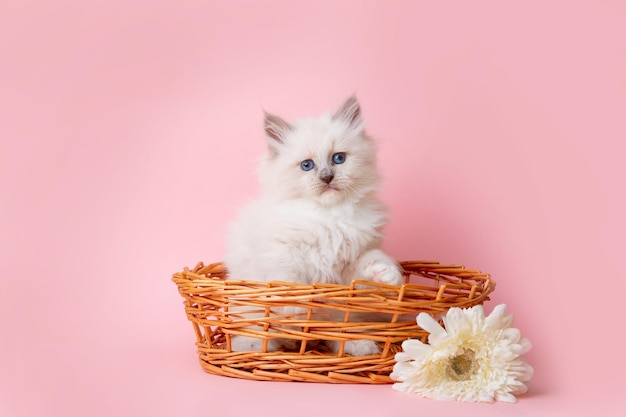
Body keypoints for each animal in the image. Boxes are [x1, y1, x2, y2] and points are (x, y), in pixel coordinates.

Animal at [224, 95, 400, 354]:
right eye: (307, 165)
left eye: (339, 158)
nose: (327, 178)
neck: (328, 216)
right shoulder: (280, 249)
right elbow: (290, 281)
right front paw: (296, 308)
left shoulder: (352, 262)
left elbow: (372, 261)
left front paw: (388, 275)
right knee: (261, 331)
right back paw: (253, 345)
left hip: (340, 316)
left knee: (336, 333)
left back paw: (357, 344)